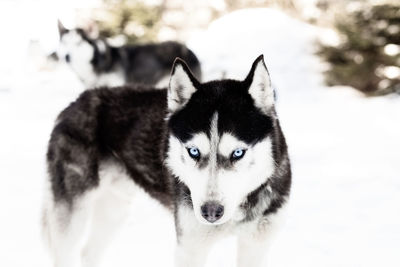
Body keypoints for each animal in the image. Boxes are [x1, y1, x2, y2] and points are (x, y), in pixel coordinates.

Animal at [43, 55, 290, 267]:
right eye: (193, 151)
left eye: (238, 153)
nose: (210, 212)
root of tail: (74, 103)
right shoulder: (190, 249)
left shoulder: (256, 245)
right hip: (75, 214)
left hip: (114, 210)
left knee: (89, 252)